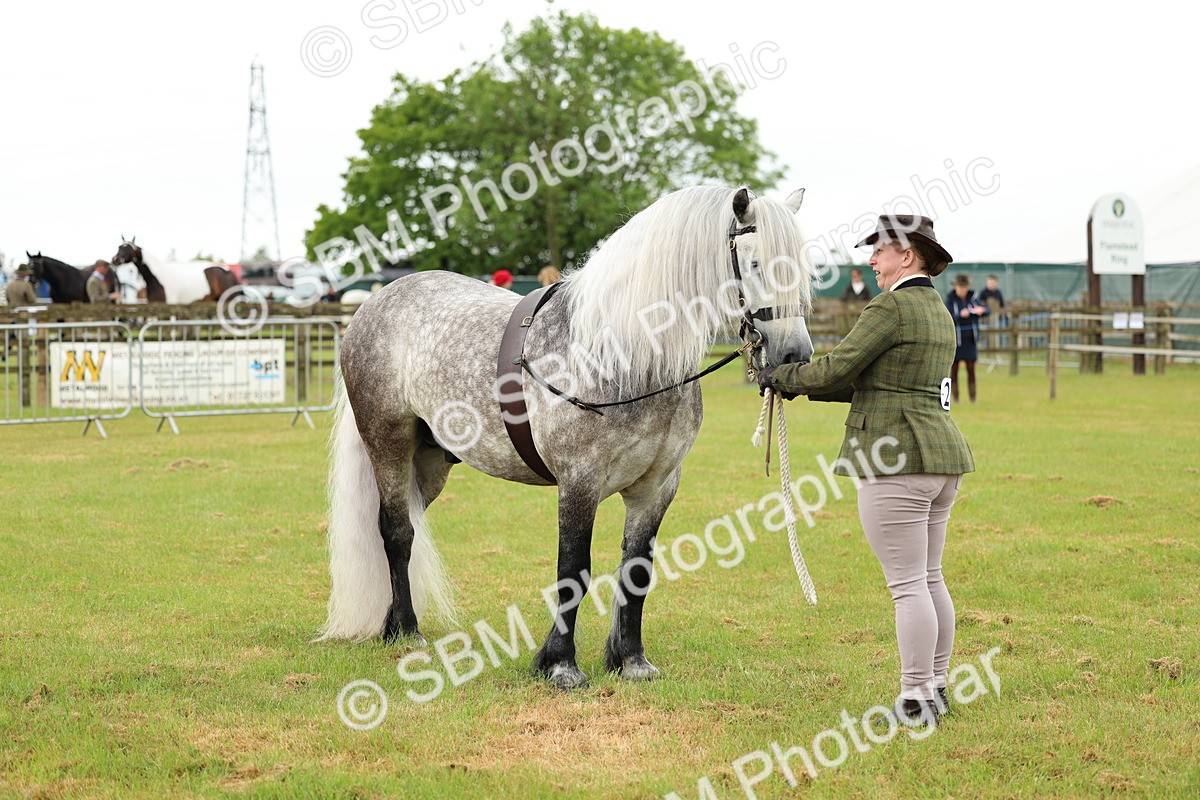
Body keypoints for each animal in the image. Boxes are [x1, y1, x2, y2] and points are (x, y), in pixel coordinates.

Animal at [318, 185, 814, 690]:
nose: (794, 353)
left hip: (431, 462)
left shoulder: (657, 487)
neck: (623, 353)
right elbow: (573, 569)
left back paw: (391, 624)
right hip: (389, 445)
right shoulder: (579, 482)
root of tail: (375, 303)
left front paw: (631, 660)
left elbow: (637, 569)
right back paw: (408, 631)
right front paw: (561, 665)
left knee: (404, 528)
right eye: (755, 264)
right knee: (397, 532)